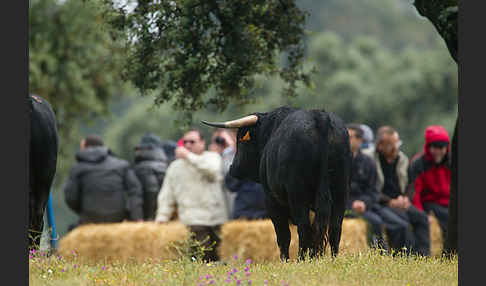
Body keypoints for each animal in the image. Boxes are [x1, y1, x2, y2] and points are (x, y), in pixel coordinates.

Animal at [203, 105, 352, 260]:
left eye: (240, 139)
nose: (233, 168)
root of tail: (319, 117)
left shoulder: (271, 200)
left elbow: (283, 235)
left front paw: (285, 260)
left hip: (298, 194)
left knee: (304, 226)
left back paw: (301, 259)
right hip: (340, 190)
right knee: (334, 227)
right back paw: (332, 258)